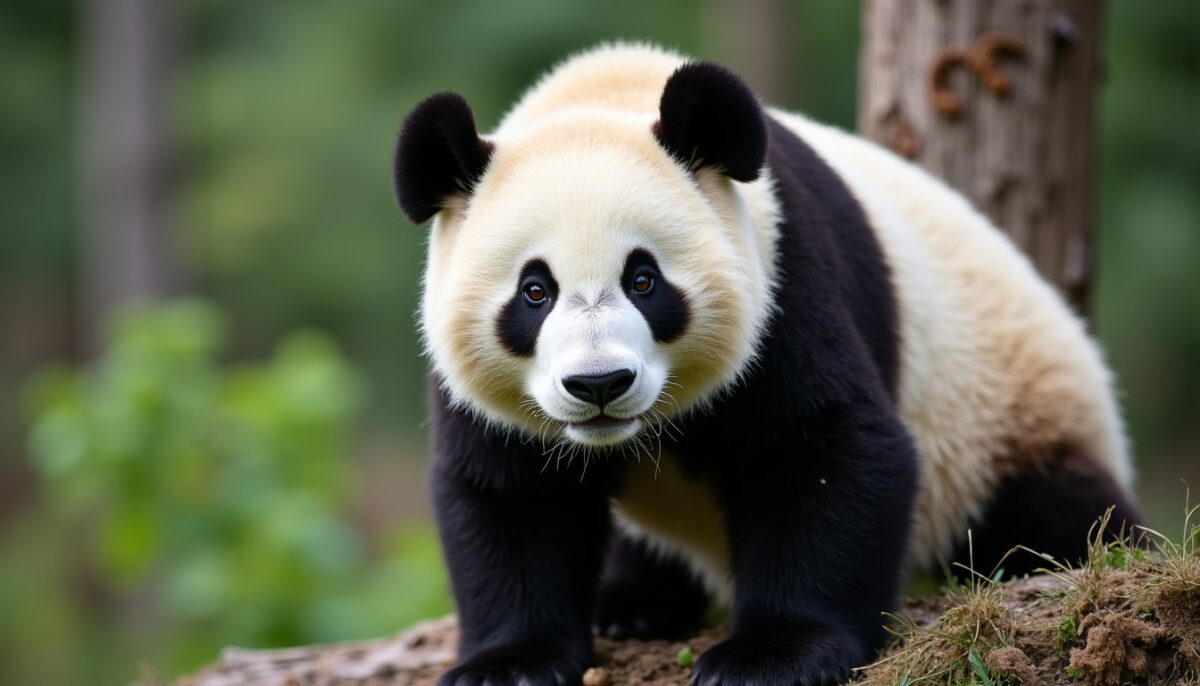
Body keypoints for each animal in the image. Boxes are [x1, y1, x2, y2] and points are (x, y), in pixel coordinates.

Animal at [392, 43, 1140, 685]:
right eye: (534, 291)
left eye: (644, 280)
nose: (599, 384)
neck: (605, 94)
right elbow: (509, 494)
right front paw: (511, 662)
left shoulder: (785, 277)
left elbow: (821, 449)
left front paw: (774, 655)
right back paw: (631, 605)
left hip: (1005, 410)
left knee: (1051, 510)